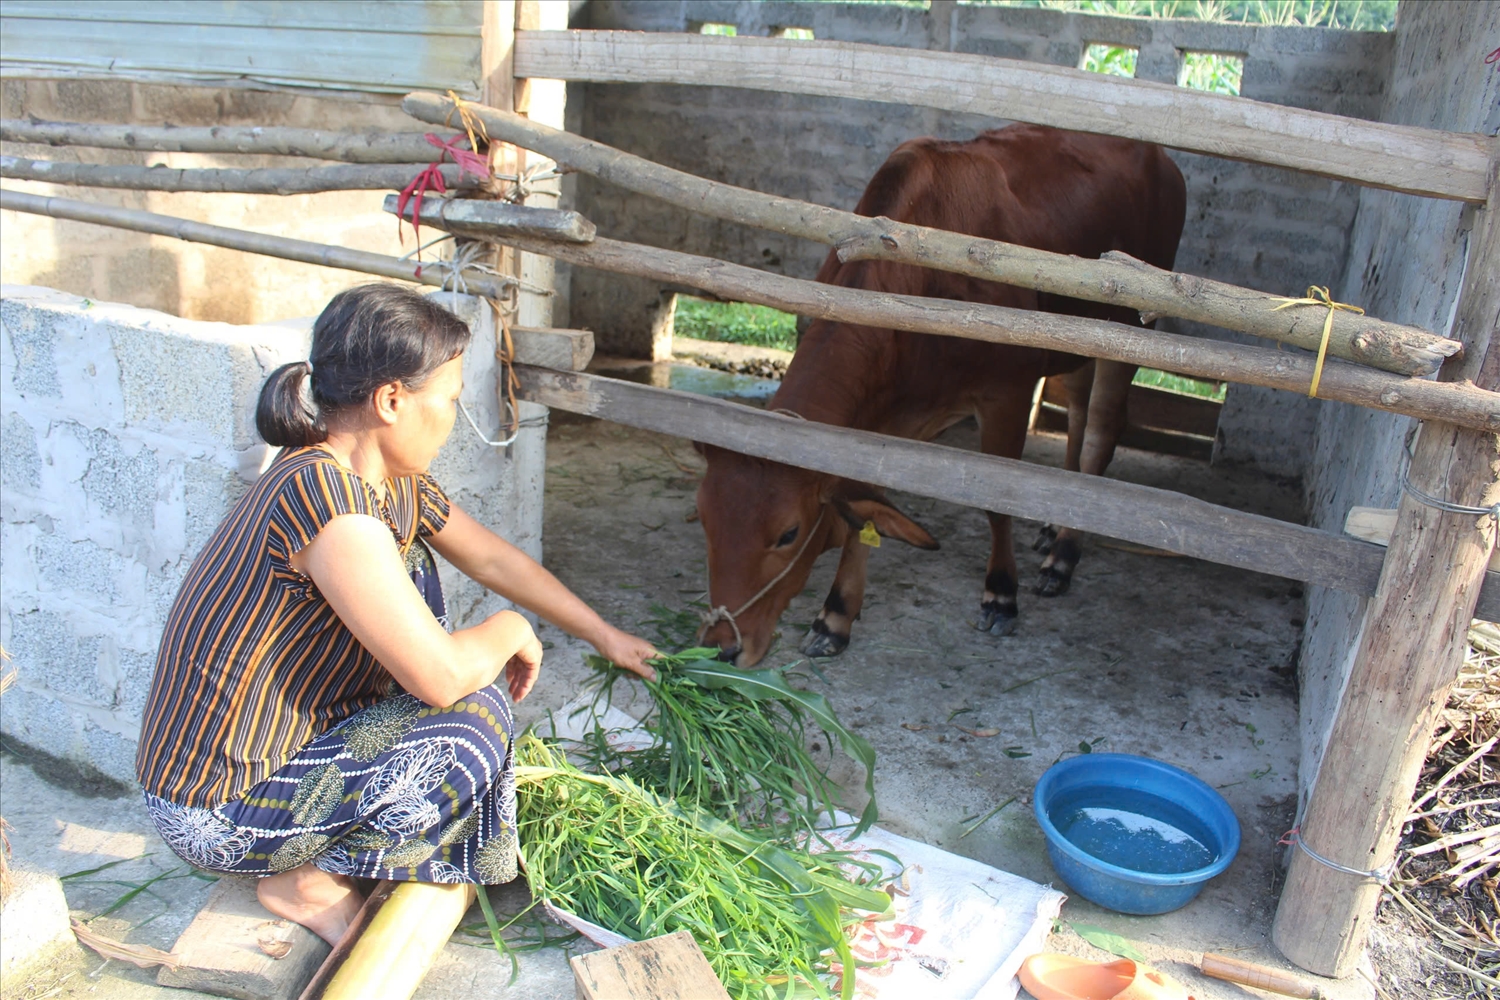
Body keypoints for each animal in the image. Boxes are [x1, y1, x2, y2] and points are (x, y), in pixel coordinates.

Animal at [699, 127, 1182, 671]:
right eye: (704, 519)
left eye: (788, 533)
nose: (721, 646)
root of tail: (1158, 154)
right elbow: (868, 507)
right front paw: (835, 617)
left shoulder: (1006, 393)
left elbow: (995, 502)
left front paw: (1001, 593)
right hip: (1078, 340)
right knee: (1077, 415)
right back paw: (1055, 526)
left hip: (1130, 331)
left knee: (1100, 431)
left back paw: (1062, 558)